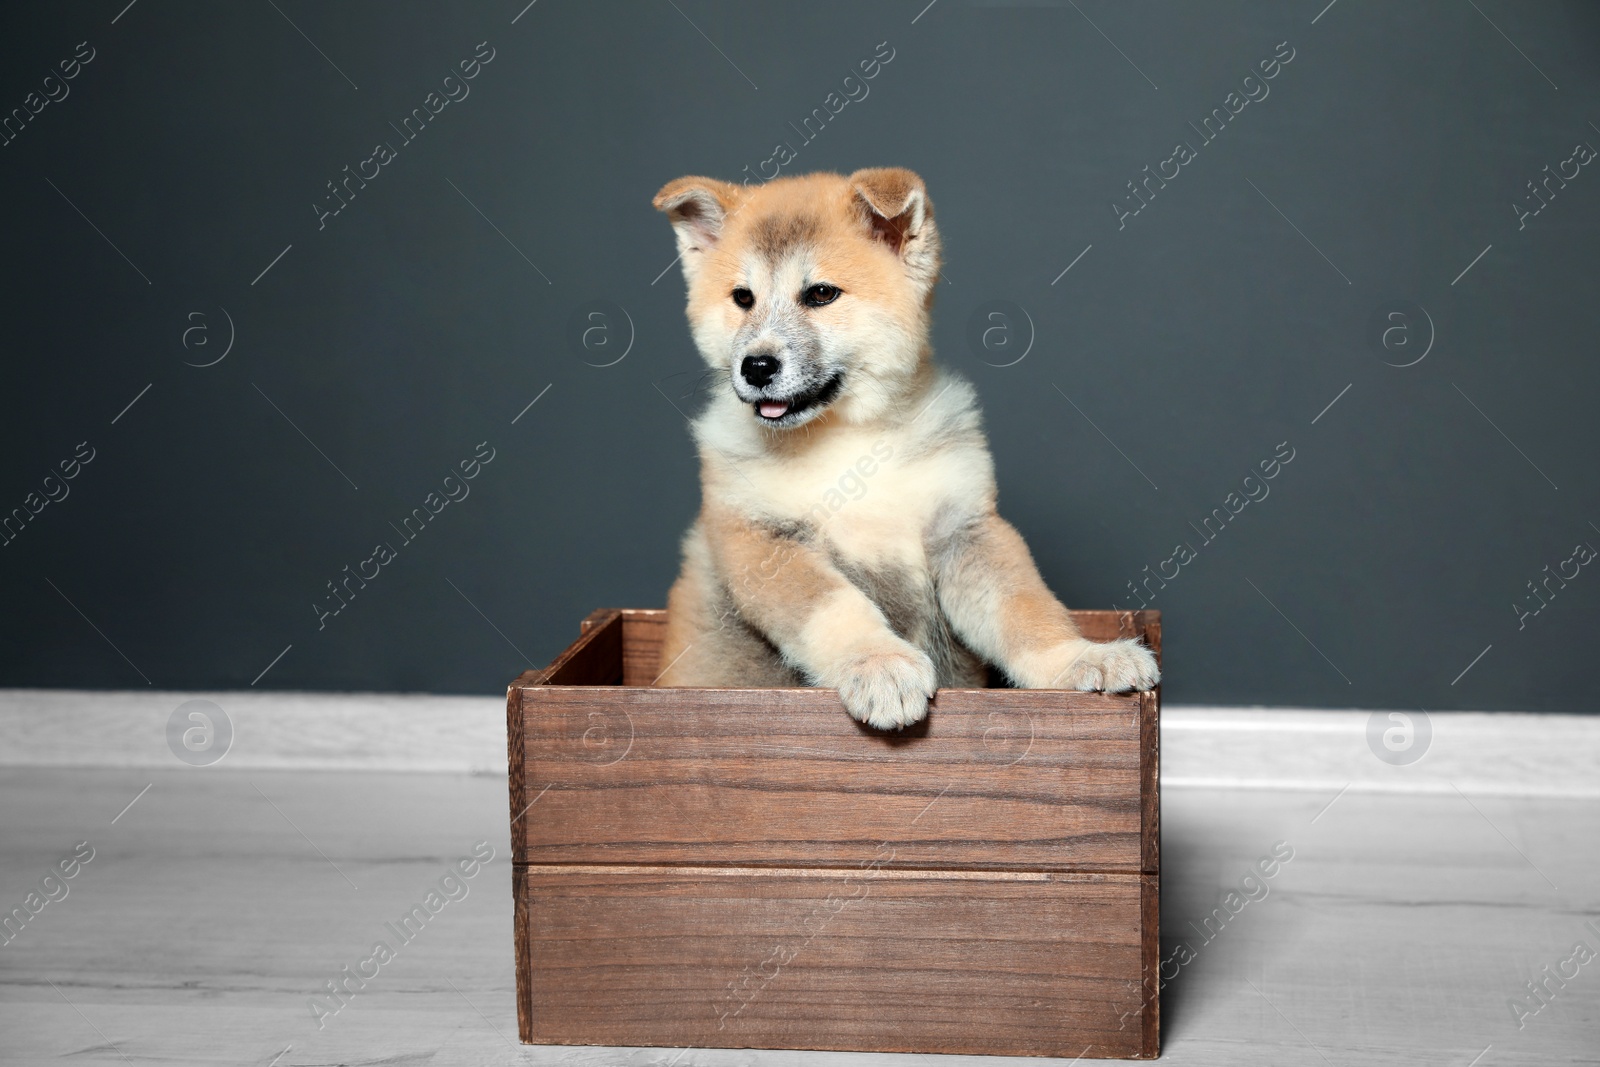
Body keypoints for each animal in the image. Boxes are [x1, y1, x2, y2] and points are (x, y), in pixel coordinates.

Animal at [649, 168, 1164, 735]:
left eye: (821, 294)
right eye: (742, 298)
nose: (756, 367)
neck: (847, 440)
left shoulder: (964, 531)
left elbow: (1024, 609)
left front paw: (1079, 657)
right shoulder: (764, 543)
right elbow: (836, 607)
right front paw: (878, 664)